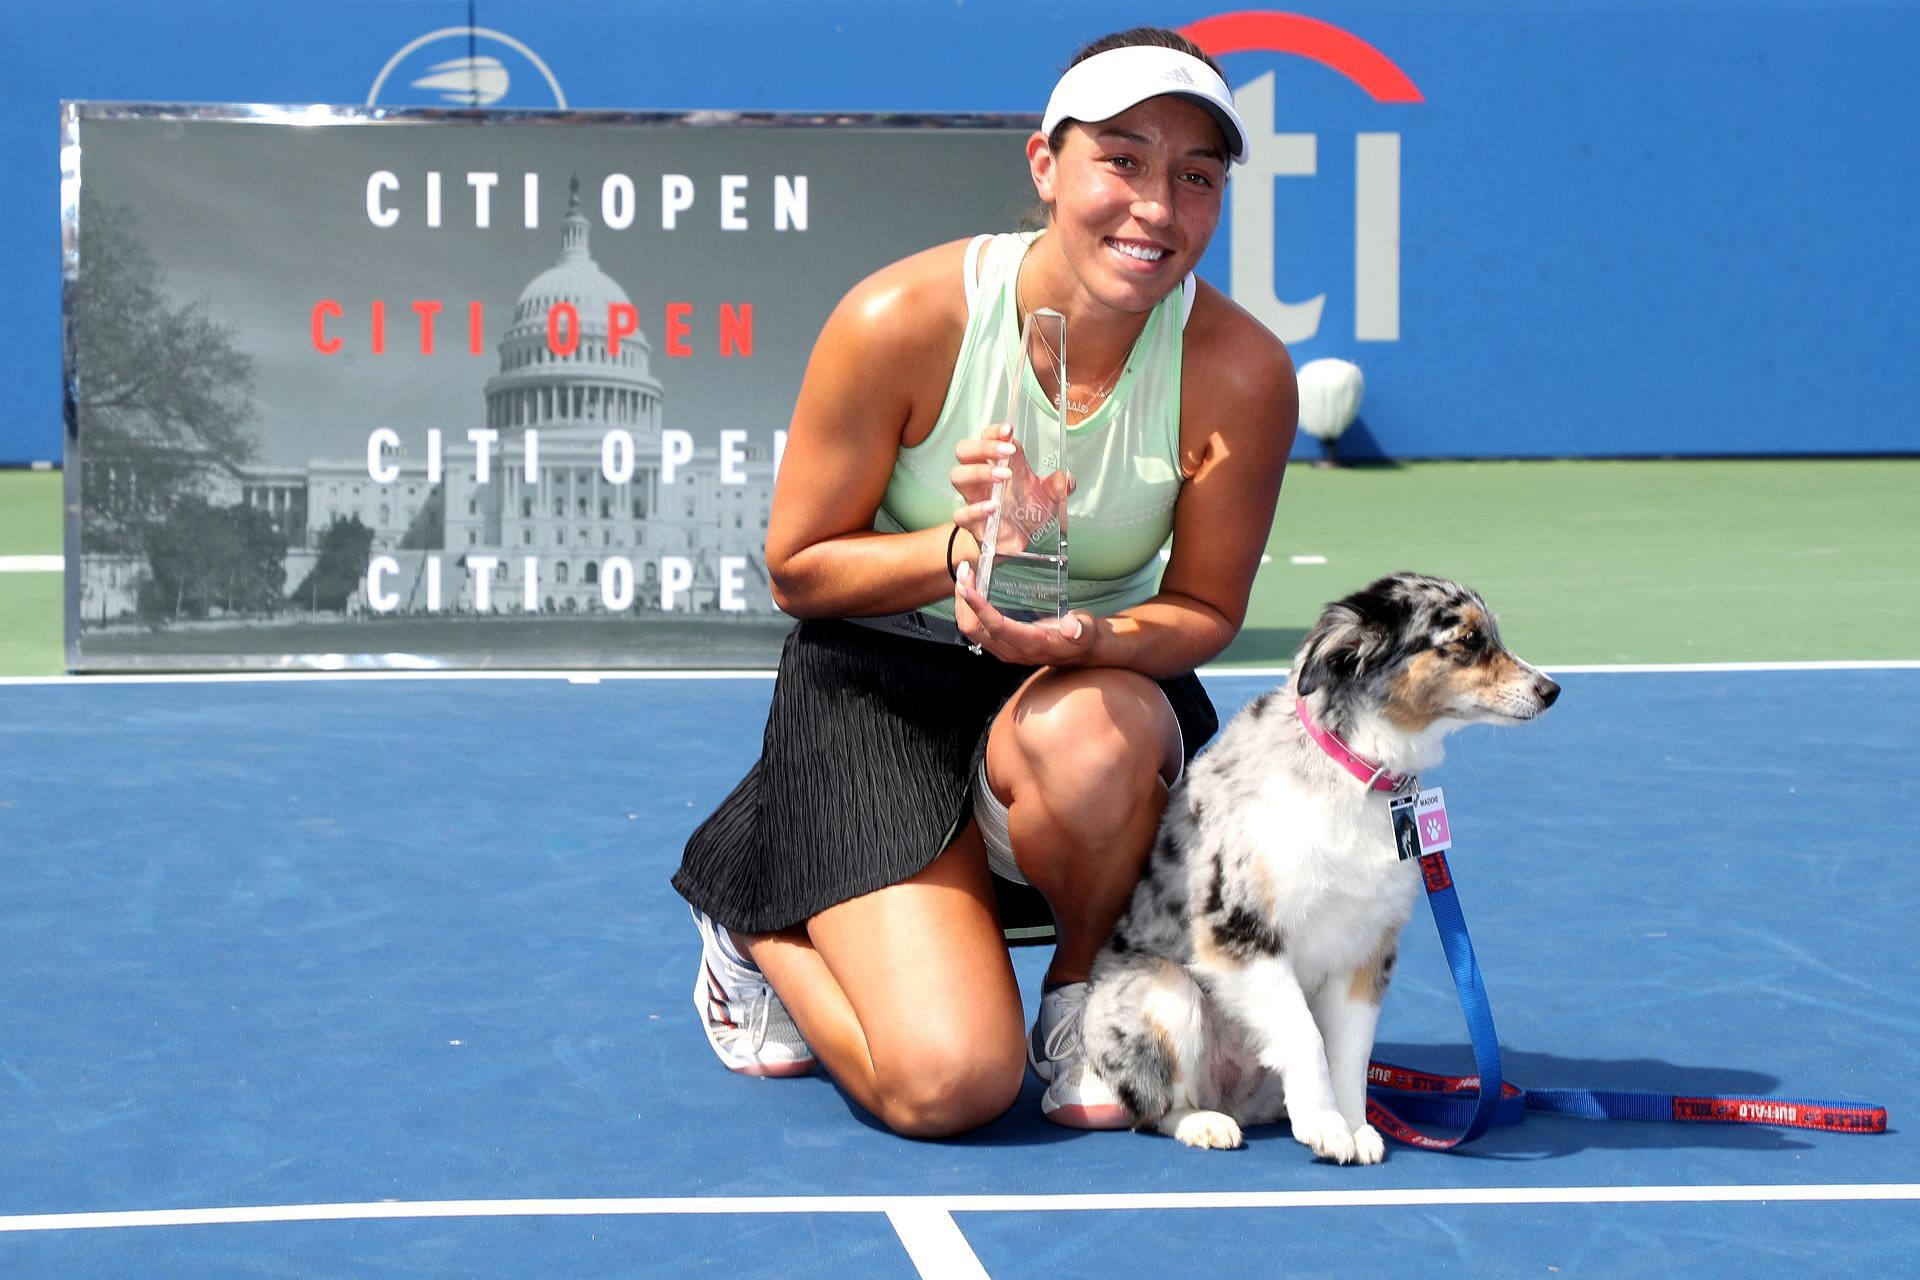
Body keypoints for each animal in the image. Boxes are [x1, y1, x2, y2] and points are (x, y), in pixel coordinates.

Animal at [1082, 575, 1559, 1166]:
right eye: (1469, 640)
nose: (1551, 689)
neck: (1358, 771)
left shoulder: (1367, 949)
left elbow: (1350, 1052)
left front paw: (1355, 1126)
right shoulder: (1240, 933)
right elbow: (1304, 1035)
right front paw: (1325, 1126)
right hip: (1165, 991)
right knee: (1152, 1109)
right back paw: (1205, 1123)